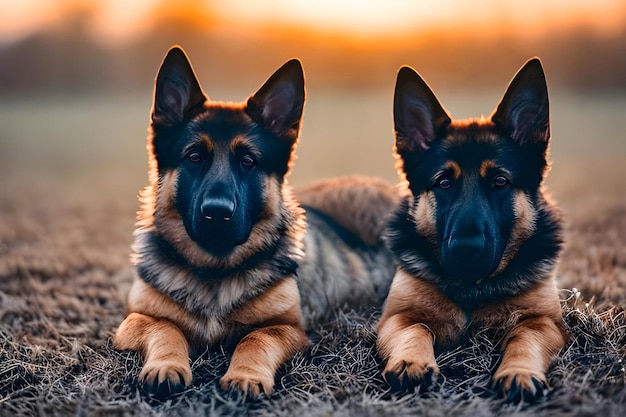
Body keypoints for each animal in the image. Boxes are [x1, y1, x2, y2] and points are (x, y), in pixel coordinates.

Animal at [112, 45, 394, 396]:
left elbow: (255, 337)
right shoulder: (135, 320)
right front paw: (166, 366)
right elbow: (166, 328)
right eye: (194, 157)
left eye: (248, 161)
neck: (215, 273)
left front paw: (245, 375)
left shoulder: (286, 327)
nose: (217, 212)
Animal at [376, 57, 564, 400]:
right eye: (444, 182)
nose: (466, 250)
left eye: (500, 181)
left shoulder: (543, 322)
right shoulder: (397, 317)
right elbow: (416, 328)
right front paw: (412, 362)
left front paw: (519, 371)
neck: (473, 289)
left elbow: (524, 339)